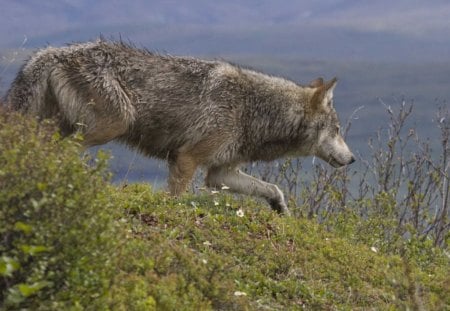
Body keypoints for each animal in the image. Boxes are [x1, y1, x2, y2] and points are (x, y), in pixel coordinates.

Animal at [4, 40, 356, 216]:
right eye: (338, 130)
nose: (352, 159)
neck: (253, 109)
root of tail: (49, 53)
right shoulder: (186, 159)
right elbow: (175, 198)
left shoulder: (219, 173)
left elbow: (272, 188)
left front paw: (280, 208)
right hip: (114, 124)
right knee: (59, 153)